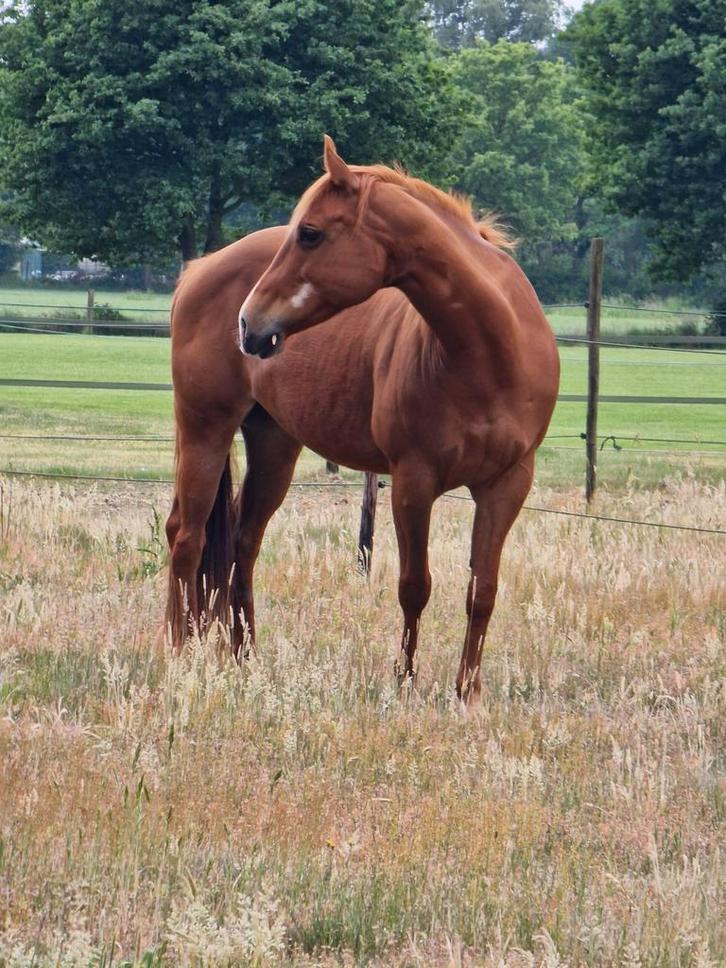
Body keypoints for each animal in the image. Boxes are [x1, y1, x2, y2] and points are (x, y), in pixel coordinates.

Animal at [165, 135, 559, 701]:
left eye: (310, 233)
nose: (247, 323)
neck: (489, 353)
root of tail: (198, 270)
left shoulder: (507, 485)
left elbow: (481, 591)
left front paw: (468, 692)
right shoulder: (413, 482)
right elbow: (415, 586)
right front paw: (405, 682)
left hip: (274, 447)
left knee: (243, 541)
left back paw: (246, 658)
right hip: (205, 430)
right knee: (187, 538)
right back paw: (180, 655)